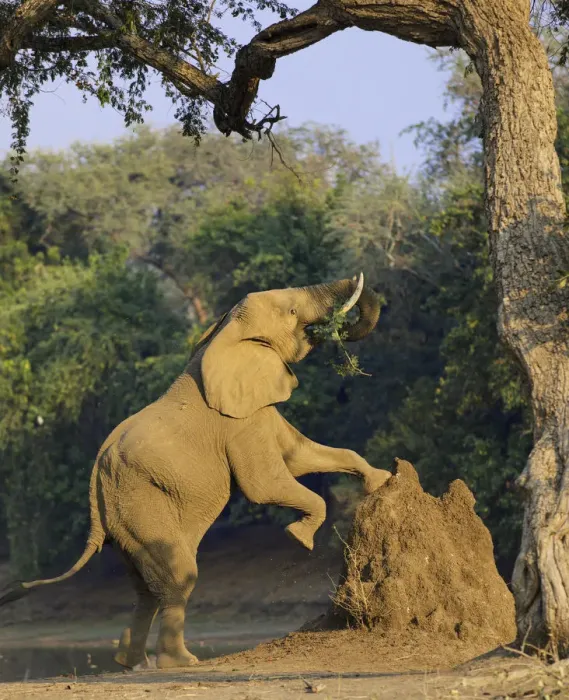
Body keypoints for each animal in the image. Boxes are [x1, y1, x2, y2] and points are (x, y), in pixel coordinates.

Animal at [0, 273, 391, 670]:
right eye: (292, 311)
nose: (334, 326)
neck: (224, 332)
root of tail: (95, 488)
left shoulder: (252, 404)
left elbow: (299, 455)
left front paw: (384, 480)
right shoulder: (235, 420)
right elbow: (264, 484)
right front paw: (300, 538)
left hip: (126, 521)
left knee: (146, 589)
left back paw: (133, 662)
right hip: (139, 505)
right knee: (179, 575)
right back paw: (181, 662)